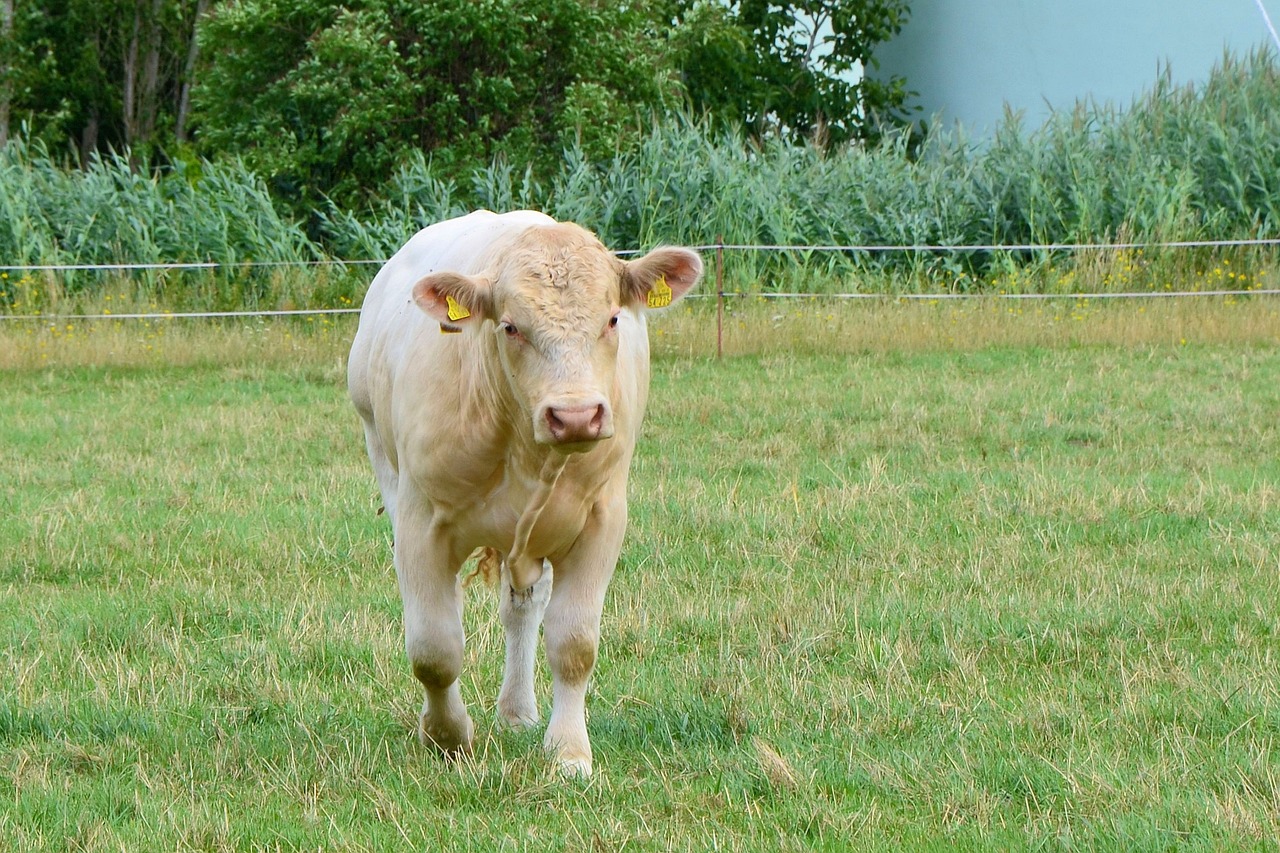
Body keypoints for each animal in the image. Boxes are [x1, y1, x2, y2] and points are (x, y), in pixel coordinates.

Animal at [348, 208, 701, 773]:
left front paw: (569, 751)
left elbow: (574, 643)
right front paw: (447, 735)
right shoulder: (420, 523)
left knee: (522, 610)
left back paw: (518, 710)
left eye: (612, 319)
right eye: (511, 326)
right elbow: (434, 648)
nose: (575, 416)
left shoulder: (601, 519)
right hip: (382, 453)